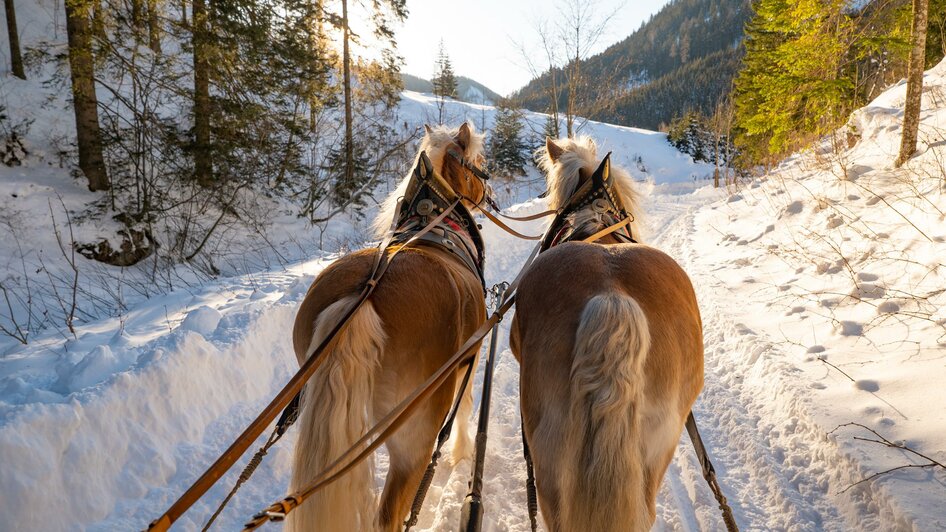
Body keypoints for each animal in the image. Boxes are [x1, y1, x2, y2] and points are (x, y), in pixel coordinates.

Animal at [286, 122, 486, 528]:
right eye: (478, 163)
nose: (486, 192)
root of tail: (361, 298)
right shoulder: (469, 361)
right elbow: (465, 409)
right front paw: (461, 453)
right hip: (414, 434)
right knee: (390, 513)